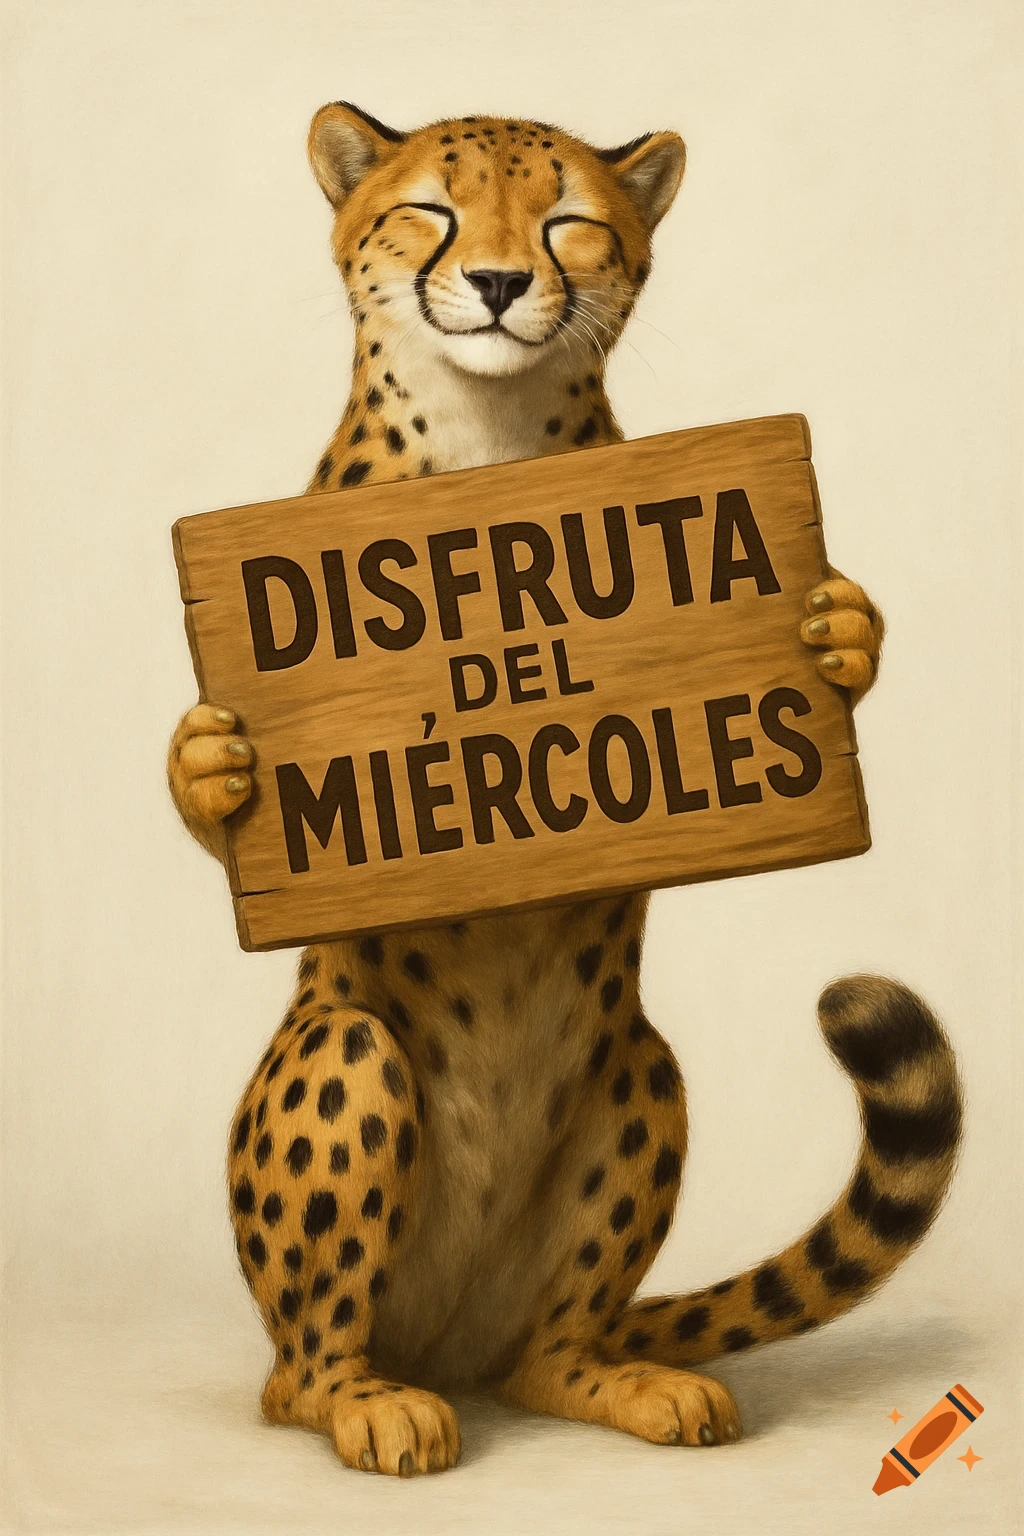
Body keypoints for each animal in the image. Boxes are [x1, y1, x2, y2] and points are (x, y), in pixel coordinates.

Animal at [167, 102, 962, 1477]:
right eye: (431, 210)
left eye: (566, 221)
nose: (495, 283)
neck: (488, 447)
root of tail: (446, 1347)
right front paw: (211, 759)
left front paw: (839, 629)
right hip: (346, 1050)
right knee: (299, 1369)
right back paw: (362, 1401)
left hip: (638, 1081)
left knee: (548, 1355)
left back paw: (624, 1383)